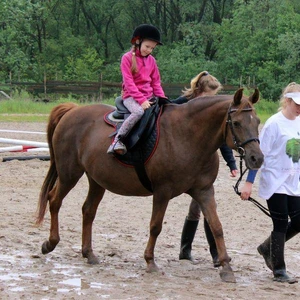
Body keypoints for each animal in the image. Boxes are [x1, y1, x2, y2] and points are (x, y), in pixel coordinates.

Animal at [36, 88, 264, 282]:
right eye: (236, 123)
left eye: (258, 121)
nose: (257, 158)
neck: (186, 135)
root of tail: (72, 111)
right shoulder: (162, 192)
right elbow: (155, 226)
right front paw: (150, 261)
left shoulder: (204, 191)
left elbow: (216, 227)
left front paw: (226, 268)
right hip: (69, 174)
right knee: (54, 200)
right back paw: (50, 243)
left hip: (97, 180)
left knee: (88, 211)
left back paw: (89, 253)